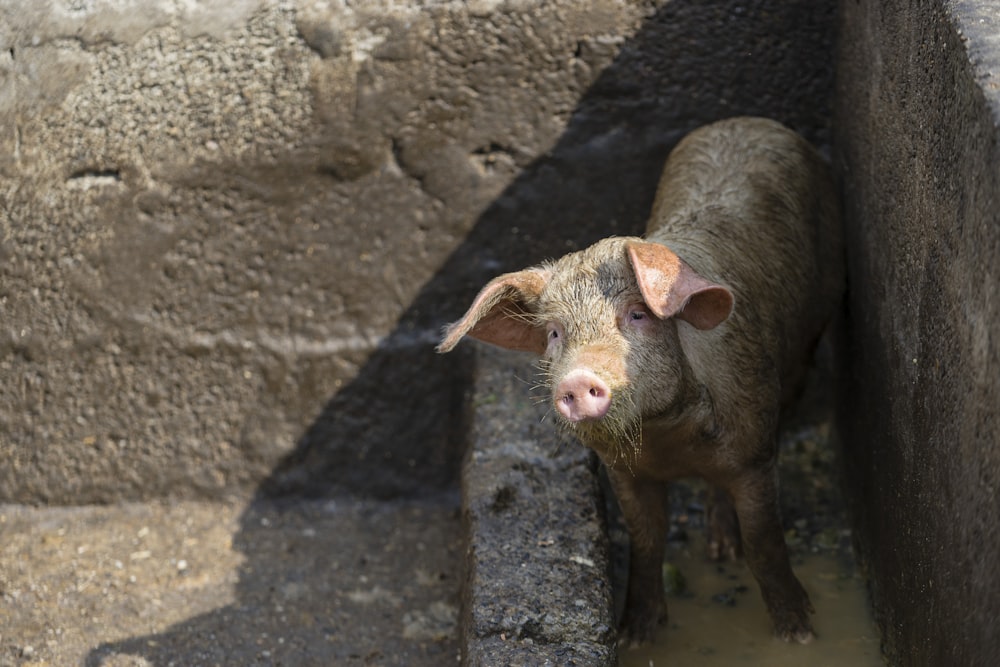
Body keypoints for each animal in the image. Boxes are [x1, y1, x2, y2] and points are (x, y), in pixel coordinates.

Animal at [438, 116, 844, 648]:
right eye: (554, 333)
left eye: (636, 315)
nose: (577, 380)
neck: (667, 437)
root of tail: (747, 121)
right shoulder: (623, 471)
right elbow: (646, 541)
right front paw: (634, 636)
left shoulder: (754, 450)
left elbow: (765, 542)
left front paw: (798, 634)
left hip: (811, 334)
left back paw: (724, 553)